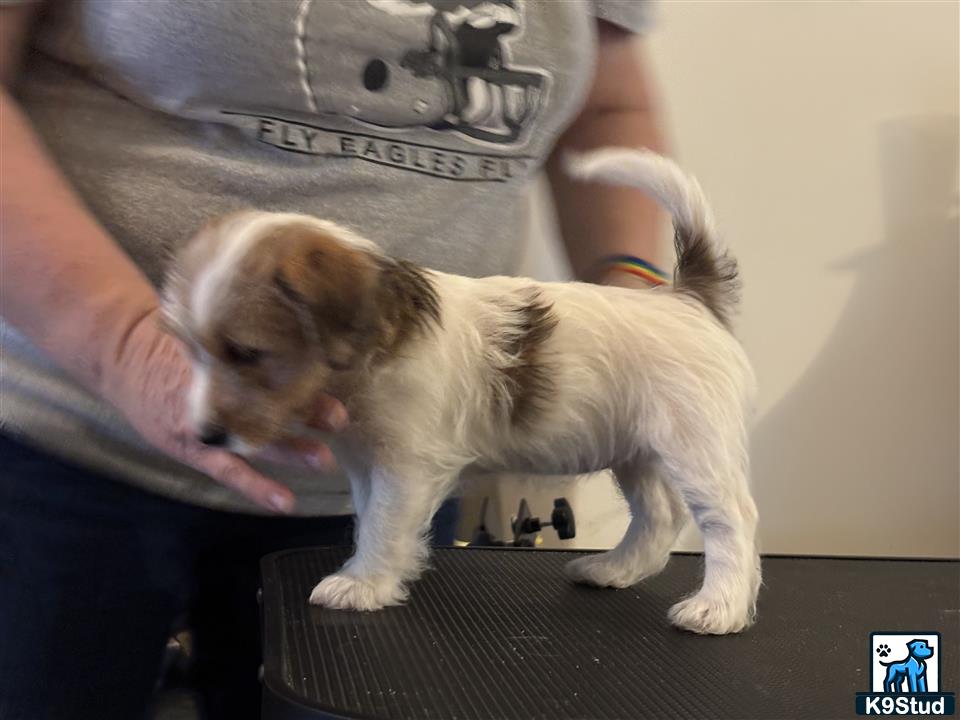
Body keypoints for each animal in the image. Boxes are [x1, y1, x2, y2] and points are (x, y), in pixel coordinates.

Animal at [161, 149, 760, 632]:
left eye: (246, 353)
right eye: (190, 348)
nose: (205, 437)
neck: (378, 342)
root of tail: (688, 299)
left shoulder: (407, 466)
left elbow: (383, 523)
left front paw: (363, 584)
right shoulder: (367, 462)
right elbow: (370, 517)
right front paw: (375, 572)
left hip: (693, 445)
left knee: (730, 519)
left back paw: (718, 608)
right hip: (637, 450)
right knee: (659, 517)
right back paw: (611, 568)